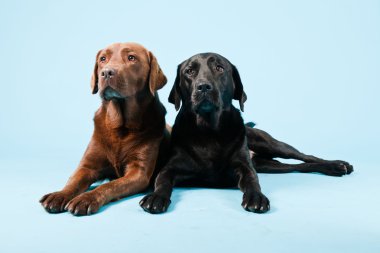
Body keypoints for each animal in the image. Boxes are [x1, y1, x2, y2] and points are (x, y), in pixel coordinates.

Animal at [39, 42, 168, 215]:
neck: (120, 127)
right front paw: (60, 195)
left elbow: (109, 185)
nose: (106, 72)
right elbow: (73, 181)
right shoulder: (87, 166)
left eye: (131, 57)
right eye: (102, 59)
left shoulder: (139, 173)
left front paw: (86, 198)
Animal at [140, 52, 354, 213]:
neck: (208, 132)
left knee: (305, 157)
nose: (203, 87)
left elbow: (252, 181)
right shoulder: (170, 167)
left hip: (271, 144)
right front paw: (155, 197)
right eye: (189, 71)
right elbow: (162, 181)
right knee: (299, 167)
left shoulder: (244, 167)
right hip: (268, 165)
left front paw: (256, 197)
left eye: (220, 68)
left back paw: (337, 165)